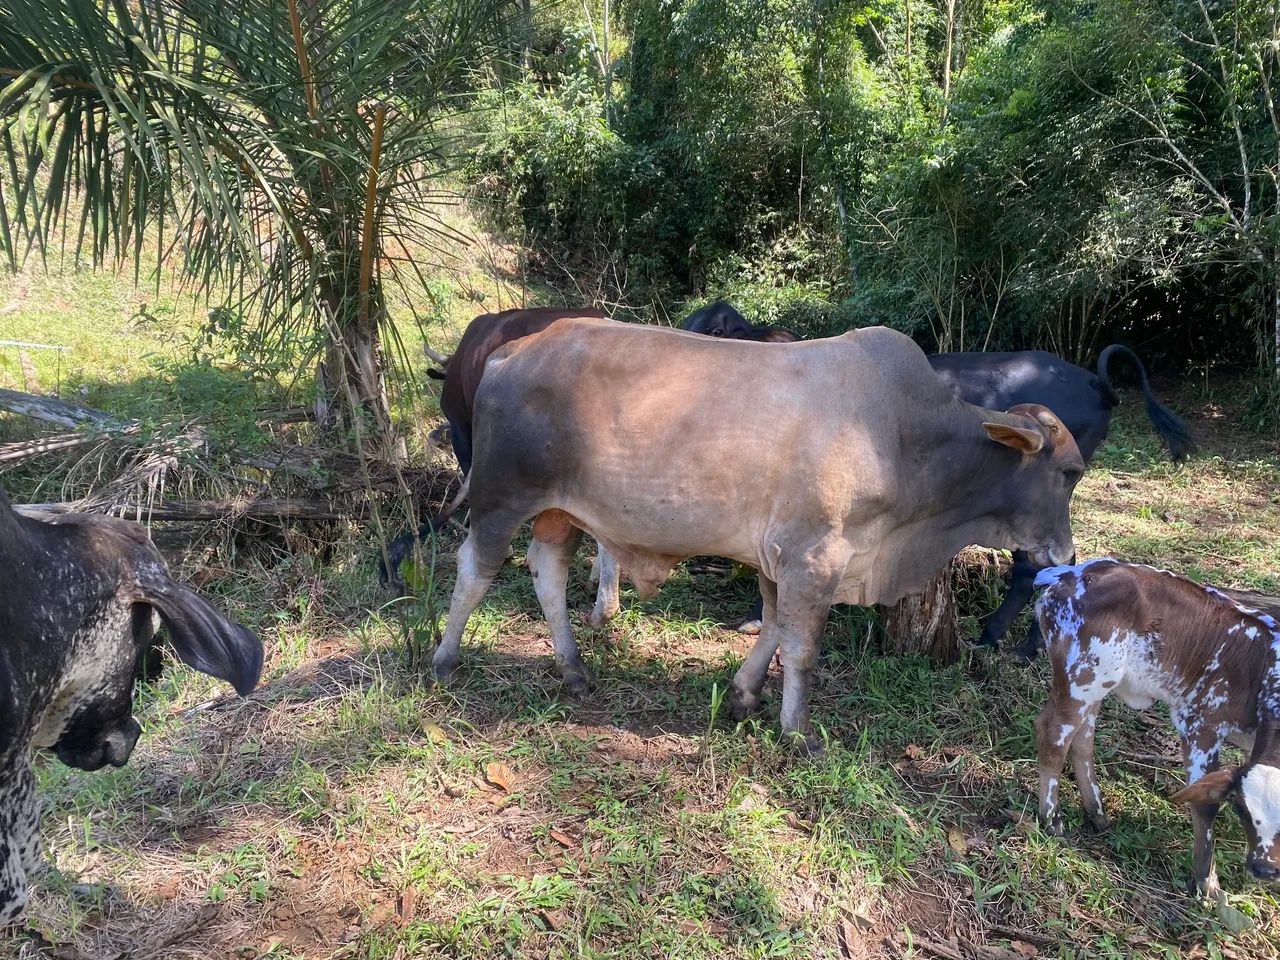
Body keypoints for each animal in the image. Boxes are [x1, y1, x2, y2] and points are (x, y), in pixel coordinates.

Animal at [431, 318, 1084, 749]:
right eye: (1071, 472)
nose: (1066, 552)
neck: (904, 439)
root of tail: (511, 350)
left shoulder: (781, 560)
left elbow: (772, 626)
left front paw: (746, 695)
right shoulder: (814, 557)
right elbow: (802, 647)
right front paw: (798, 730)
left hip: (559, 511)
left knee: (548, 570)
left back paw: (572, 669)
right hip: (502, 494)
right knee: (475, 568)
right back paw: (444, 658)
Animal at [1033, 559, 1280, 897]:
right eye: (1241, 808)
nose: (1264, 869)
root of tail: (1070, 573)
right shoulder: (1200, 721)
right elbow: (1205, 804)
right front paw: (1206, 883)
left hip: (1096, 683)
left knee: (1082, 739)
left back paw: (1097, 813)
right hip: (1081, 677)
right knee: (1053, 735)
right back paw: (1051, 819)